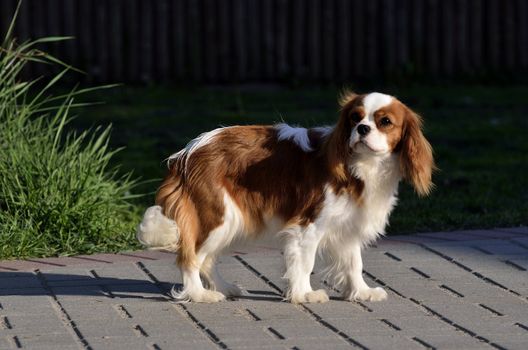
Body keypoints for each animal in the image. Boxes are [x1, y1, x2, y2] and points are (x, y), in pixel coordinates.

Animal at [136, 91, 434, 304]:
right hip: (215, 216)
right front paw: (304, 295)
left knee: (206, 259)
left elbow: (354, 263)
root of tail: (185, 154)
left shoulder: (348, 226)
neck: (361, 166)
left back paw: (224, 288)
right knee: (189, 258)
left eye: (385, 122)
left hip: (230, 221)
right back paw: (200, 295)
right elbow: (305, 263)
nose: (361, 129)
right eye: (354, 118)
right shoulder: (308, 226)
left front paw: (361, 292)